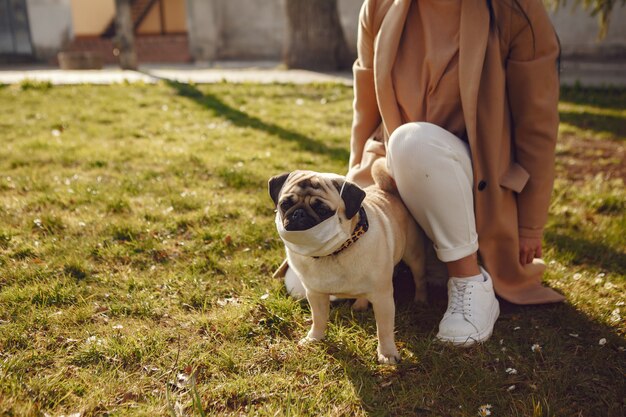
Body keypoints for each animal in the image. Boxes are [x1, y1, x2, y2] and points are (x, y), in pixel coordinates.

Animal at [268, 159, 424, 360]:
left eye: (322, 210)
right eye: (285, 204)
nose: (299, 213)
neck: (333, 252)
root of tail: (390, 191)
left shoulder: (383, 297)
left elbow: (384, 329)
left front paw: (387, 353)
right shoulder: (315, 294)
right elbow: (318, 319)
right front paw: (314, 338)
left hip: (414, 256)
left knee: (419, 278)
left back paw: (420, 300)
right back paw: (359, 305)